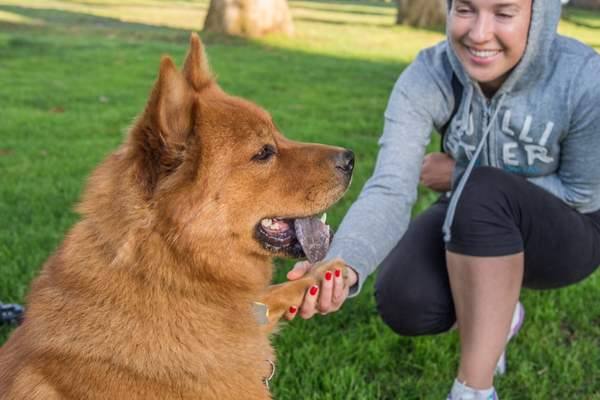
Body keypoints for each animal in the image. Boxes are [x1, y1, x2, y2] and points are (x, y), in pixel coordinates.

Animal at [0, 34, 352, 400]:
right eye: (263, 153)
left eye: (279, 133)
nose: (351, 158)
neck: (173, 275)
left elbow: (276, 291)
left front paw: (327, 274)